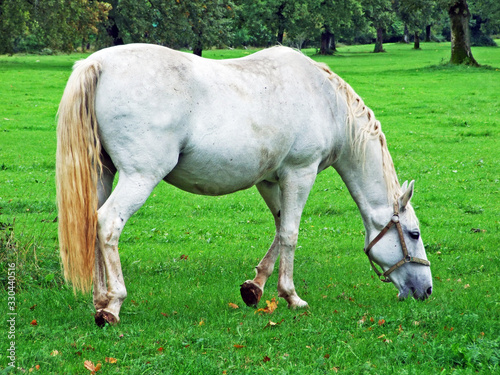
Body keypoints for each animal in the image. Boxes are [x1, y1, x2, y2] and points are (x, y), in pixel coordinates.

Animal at [55, 44, 434, 326]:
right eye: (414, 234)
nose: (426, 290)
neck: (325, 100)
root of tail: (97, 63)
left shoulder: (269, 179)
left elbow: (279, 230)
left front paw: (255, 287)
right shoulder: (300, 173)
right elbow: (291, 233)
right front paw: (291, 296)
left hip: (102, 175)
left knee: (92, 224)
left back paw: (99, 299)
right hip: (140, 177)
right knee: (108, 224)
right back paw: (112, 305)